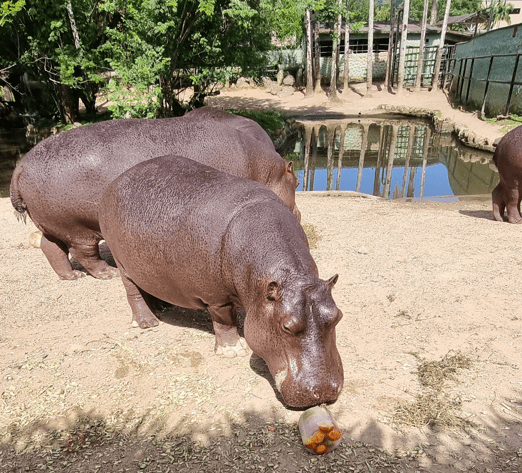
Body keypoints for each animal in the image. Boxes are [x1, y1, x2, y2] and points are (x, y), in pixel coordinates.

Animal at [10, 110, 298, 280]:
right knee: (84, 254)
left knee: (51, 247)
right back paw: (109, 274)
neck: (267, 170)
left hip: (53, 223)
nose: (297, 214)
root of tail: (20, 166)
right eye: (296, 182)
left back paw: (72, 277)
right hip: (77, 227)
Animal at [99, 155, 344, 406]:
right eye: (286, 326)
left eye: (338, 316)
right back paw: (148, 323)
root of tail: (116, 182)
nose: (323, 391)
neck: (291, 276)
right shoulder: (216, 297)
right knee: (133, 291)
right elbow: (224, 320)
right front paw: (234, 351)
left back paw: (161, 306)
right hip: (122, 263)